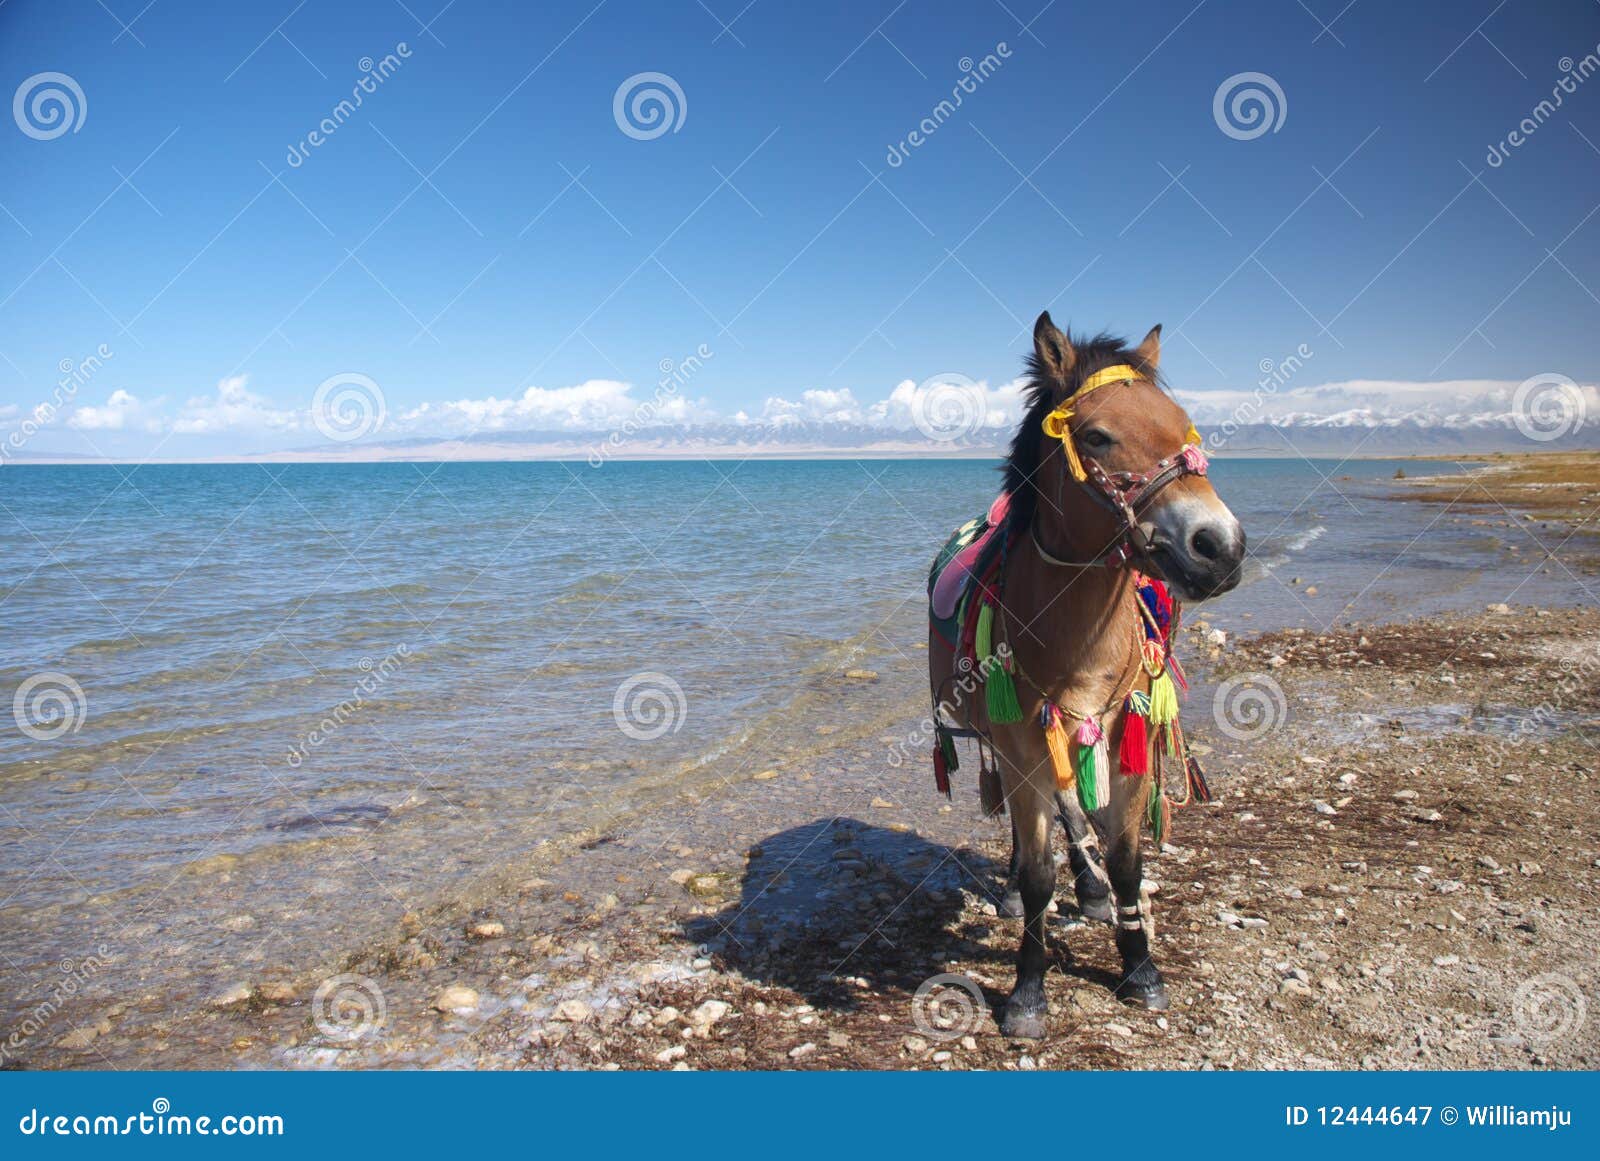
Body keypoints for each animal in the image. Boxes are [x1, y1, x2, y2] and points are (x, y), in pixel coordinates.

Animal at [926, 312, 1244, 1039]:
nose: (1220, 547)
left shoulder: (1126, 741)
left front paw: (1140, 966)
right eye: (1097, 435)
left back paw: (1092, 890)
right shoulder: (1021, 749)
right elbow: (1040, 871)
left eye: (1185, 426)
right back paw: (1022, 888)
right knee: (1035, 829)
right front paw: (1027, 991)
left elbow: (1128, 861)